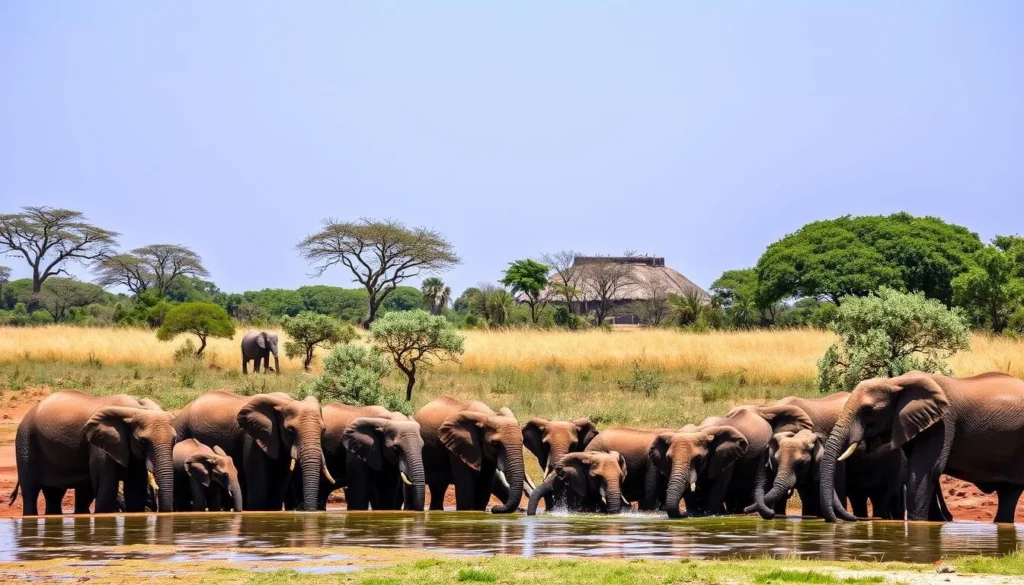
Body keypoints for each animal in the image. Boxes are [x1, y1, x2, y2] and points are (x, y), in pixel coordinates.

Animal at [13, 391, 176, 515]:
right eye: (143, 441)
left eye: (174, 440)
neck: (135, 408)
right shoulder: (99, 447)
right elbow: (106, 490)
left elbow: (135, 492)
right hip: (26, 441)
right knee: (30, 491)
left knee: (58, 494)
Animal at [173, 391, 333, 511]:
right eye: (290, 431)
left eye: (323, 430)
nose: (308, 510)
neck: (284, 402)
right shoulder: (252, 439)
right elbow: (259, 485)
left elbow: (279, 483)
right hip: (181, 429)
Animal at [820, 371, 1024, 523]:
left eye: (868, 410)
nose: (841, 521)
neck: (896, 382)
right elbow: (926, 474)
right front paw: (935, 522)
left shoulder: (942, 424)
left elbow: (925, 470)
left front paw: (918, 523)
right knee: (1009, 492)